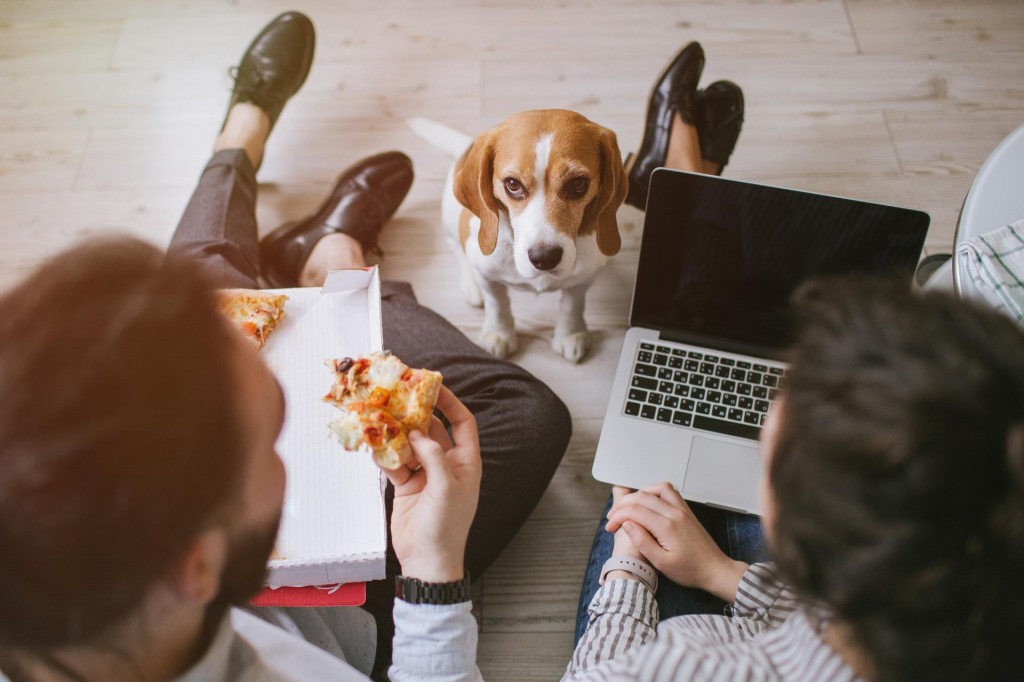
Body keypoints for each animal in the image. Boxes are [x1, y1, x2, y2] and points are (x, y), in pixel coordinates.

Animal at [425, 110, 626, 360]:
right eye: (512, 184)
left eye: (579, 183)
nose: (545, 258)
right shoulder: (488, 276)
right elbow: (497, 305)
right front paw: (498, 335)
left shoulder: (585, 276)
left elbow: (573, 304)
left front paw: (570, 333)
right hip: (454, 218)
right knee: (456, 245)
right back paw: (471, 286)